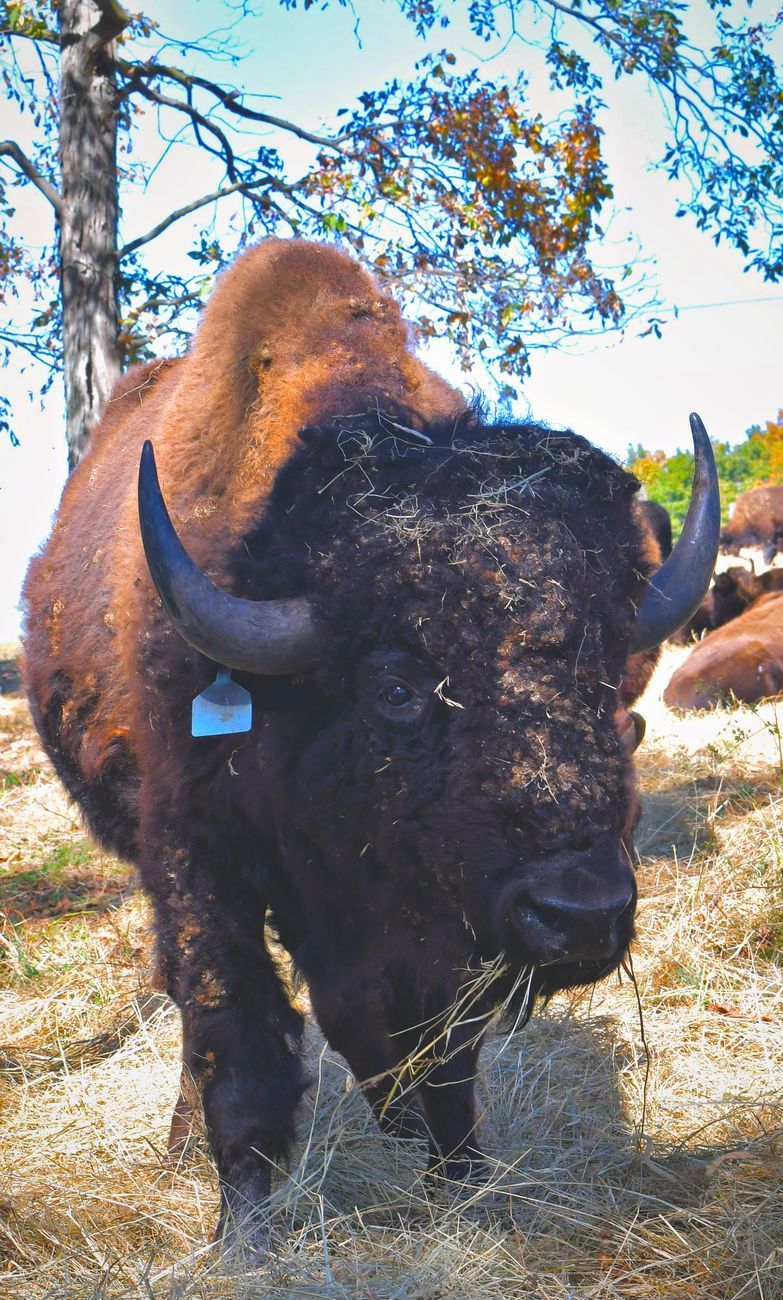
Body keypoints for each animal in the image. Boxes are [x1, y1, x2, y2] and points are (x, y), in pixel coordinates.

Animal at [22, 240, 719, 1255]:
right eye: (396, 689)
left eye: (603, 675)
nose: (580, 914)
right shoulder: (199, 859)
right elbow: (237, 1036)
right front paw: (246, 1235)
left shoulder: (425, 924)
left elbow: (430, 1050)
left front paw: (461, 1185)